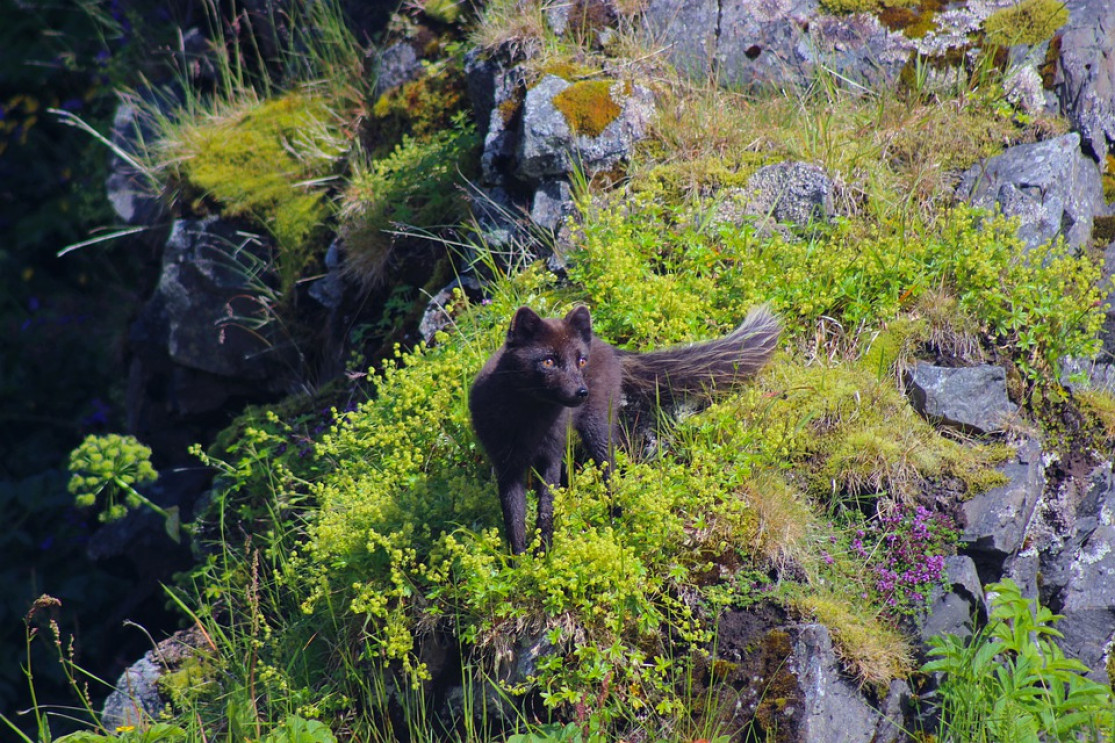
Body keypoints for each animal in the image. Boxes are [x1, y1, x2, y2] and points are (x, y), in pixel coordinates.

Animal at [466, 303, 780, 553]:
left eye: (580, 360)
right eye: (549, 360)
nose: (581, 392)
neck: (527, 421)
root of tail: (606, 345)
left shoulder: (550, 455)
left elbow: (546, 508)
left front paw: (544, 554)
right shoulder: (505, 462)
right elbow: (513, 515)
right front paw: (518, 561)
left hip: (598, 428)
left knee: (610, 472)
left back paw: (615, 515)